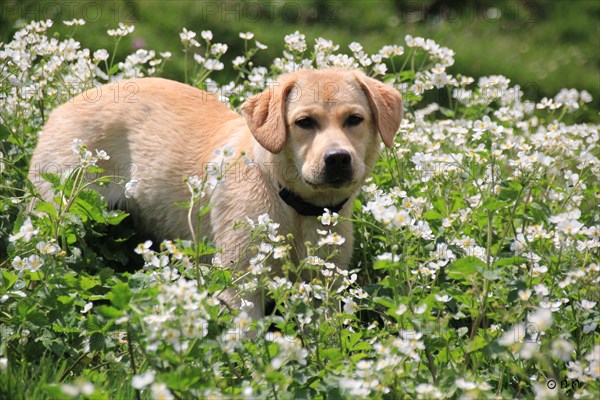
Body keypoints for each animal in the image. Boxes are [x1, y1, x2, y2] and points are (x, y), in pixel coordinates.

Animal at [28, 69, 404, 318]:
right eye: (304, 123)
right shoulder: (241, 285)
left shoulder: (326, 283)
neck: (297, 207)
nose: (338, 158)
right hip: (56, 214)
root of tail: (61, 106)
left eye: (354, 119)